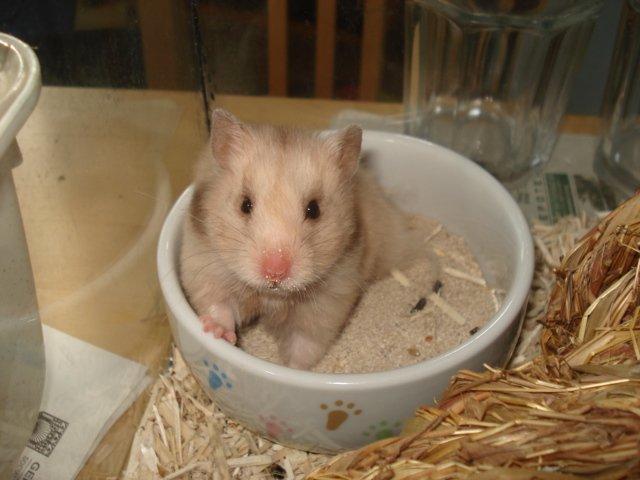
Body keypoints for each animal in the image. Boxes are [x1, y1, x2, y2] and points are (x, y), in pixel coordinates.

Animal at [179, 109, 416, 370]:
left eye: (314, 209)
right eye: (245, 205)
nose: (275, 273)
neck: (272, 295)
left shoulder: (328, 302)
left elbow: (305, 345)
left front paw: (289, 370)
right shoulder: (204, 266)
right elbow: (219, 305)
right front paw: (218, 334)